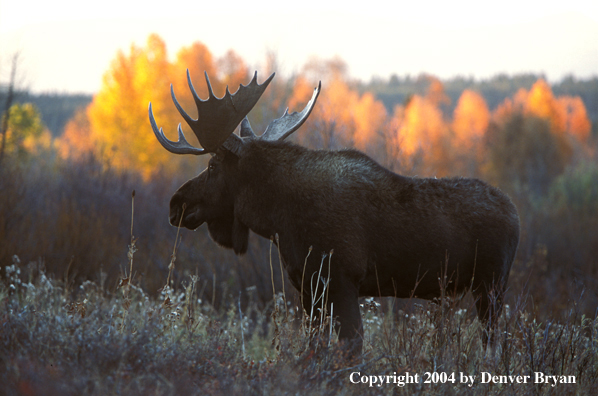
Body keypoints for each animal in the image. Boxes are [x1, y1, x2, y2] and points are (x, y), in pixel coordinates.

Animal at [149, 71, 520, 356]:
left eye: (213, 166)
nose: (175, 204)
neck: (278, 220)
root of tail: (516, 216)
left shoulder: (342, 280)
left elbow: (351, 350)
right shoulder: (309, 289)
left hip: (491, 287)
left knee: (492, 347)